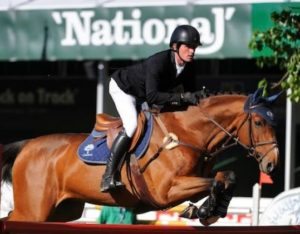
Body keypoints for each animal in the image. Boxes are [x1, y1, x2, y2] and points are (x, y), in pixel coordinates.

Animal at [1, 90, 280, 225]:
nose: (272, 163)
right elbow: (217, 180)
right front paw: (206, 210)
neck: (187, 133)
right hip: (34, 211)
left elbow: (225, 177)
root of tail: (27, 145)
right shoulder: (166, 192)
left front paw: (211, 210)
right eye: (258, 122)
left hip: (62, 210)